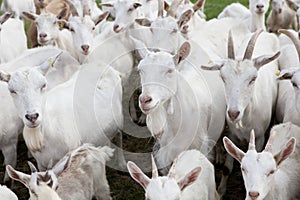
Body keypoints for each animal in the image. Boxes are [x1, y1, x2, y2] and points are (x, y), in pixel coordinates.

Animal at [202, 29, 282, 197]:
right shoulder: (232, 134)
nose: (233, 113)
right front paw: (220, 191)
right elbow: (227, 168)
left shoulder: (259, 137)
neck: (246, 120)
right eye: (223, 77)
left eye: (253, 78)